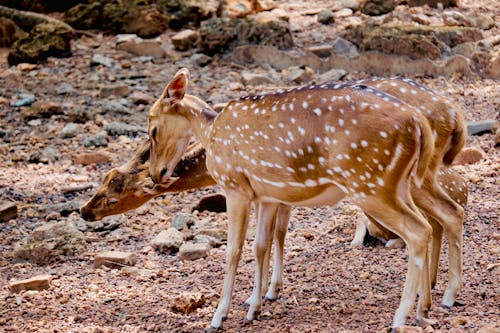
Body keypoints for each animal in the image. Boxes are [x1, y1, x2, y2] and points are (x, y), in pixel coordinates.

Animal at [146, 67, 436, 330]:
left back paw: (400, 318)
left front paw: (219, 317)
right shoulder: (266, 197)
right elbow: (260, 246)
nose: (155, 174)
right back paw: (423, 309)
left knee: (418, 230)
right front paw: (254, 306)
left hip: (369, 183)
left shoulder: (235, 187)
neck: (210, 134)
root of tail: (418, 122)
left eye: (153, 131)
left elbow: (233, 251)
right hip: (397, 184)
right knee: (429, 224)